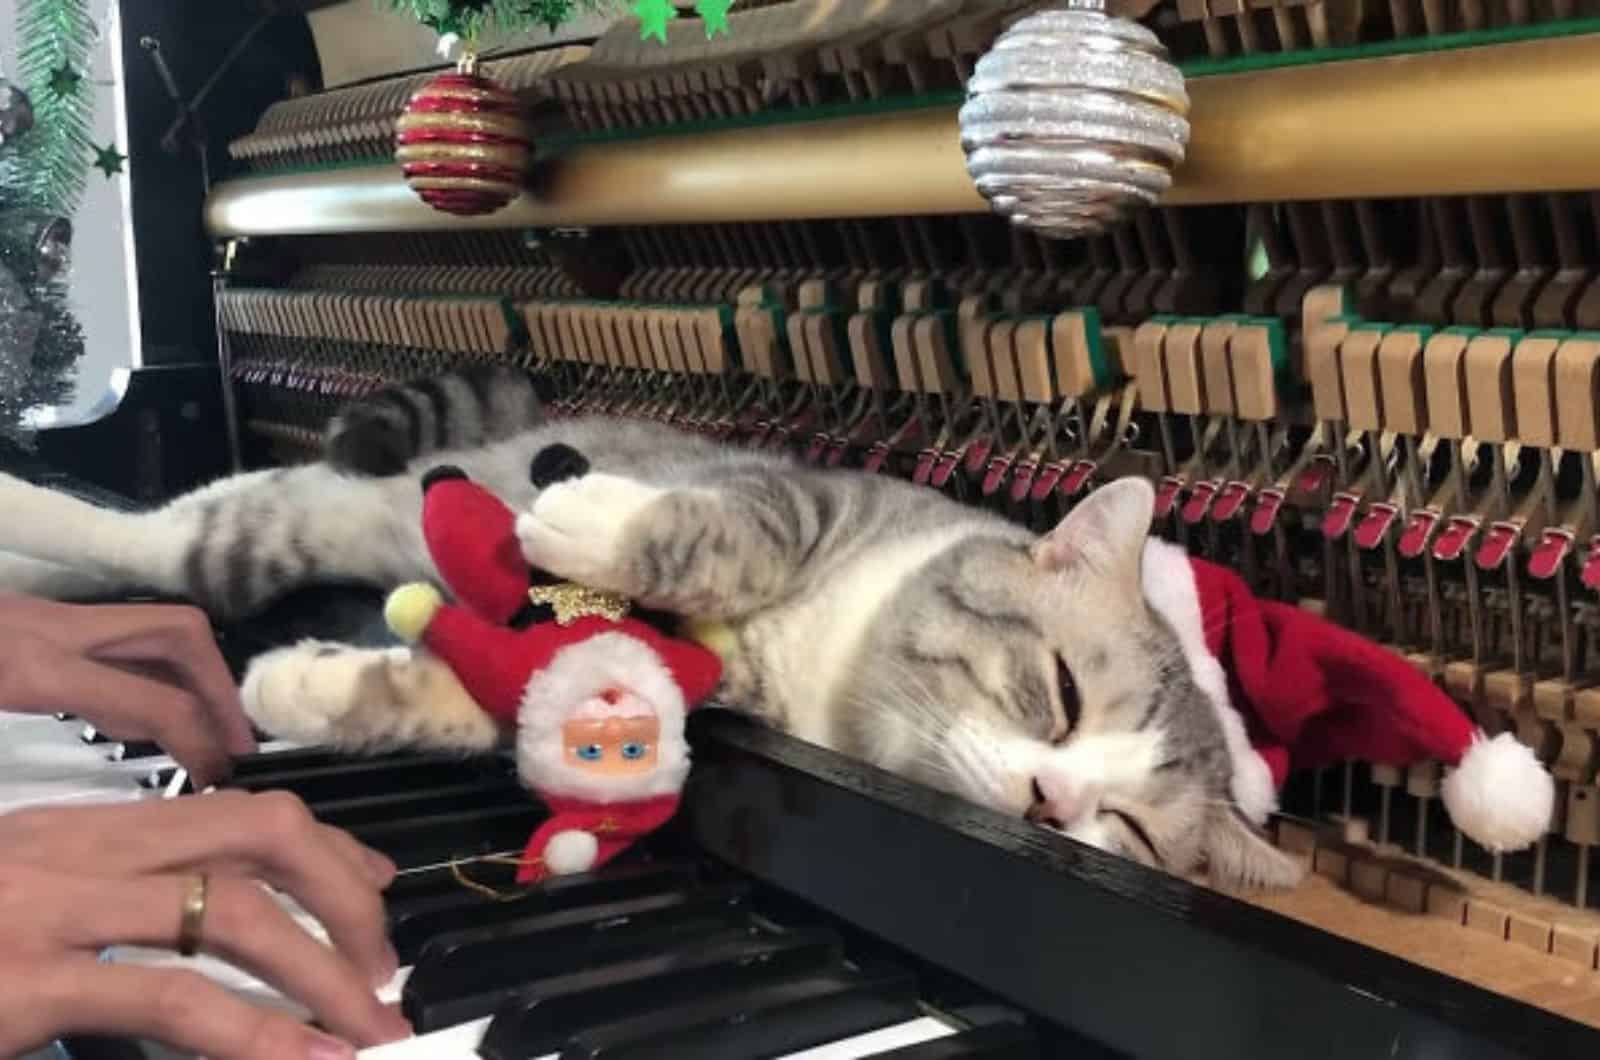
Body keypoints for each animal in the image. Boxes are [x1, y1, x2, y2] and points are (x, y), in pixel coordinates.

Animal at [0, 369, 1299, 890]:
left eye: (1124, 831)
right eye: (1058, 694)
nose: (1049, 804)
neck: (824, 689)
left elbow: (472, 701)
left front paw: (311, 688)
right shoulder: (801, 495)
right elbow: (737, 527)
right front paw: (589, 511)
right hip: (298, 518)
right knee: (159, 541)